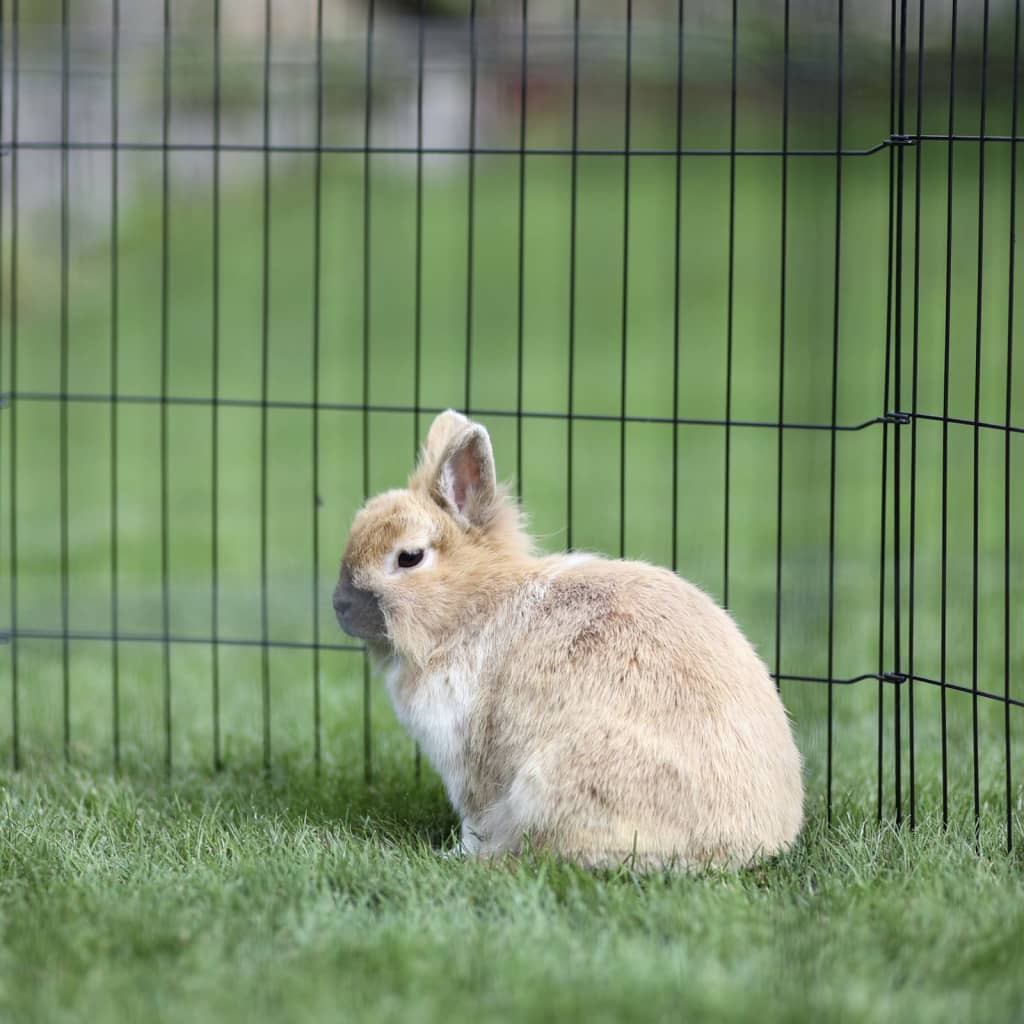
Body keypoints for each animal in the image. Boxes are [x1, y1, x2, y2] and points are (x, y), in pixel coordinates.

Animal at [331, 409, 802, 872]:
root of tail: (753, 843)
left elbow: (475, 819)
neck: (471, 607)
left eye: (409, 557)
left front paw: (459, 852)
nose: (339, 605)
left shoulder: (469, 764)